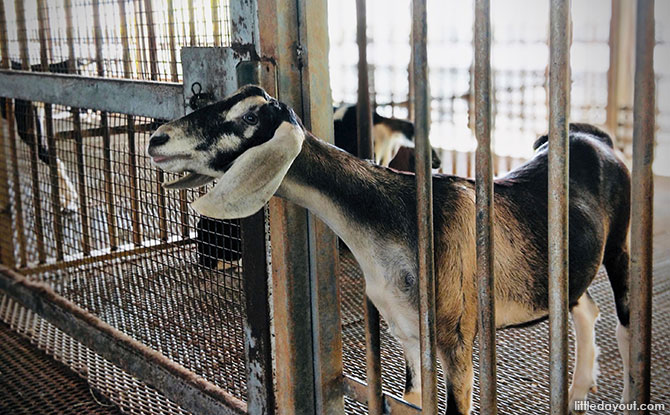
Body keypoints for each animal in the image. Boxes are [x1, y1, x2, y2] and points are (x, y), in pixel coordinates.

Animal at [148, 86, 636, 414]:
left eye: (250, 116)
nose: (157, 139)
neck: (396, 217)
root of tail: (595, 139)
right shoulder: (406, 331)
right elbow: (414, 399)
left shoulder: (457, 339)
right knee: (585, 307)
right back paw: (577, 390)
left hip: (620, 246)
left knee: (623, 321)